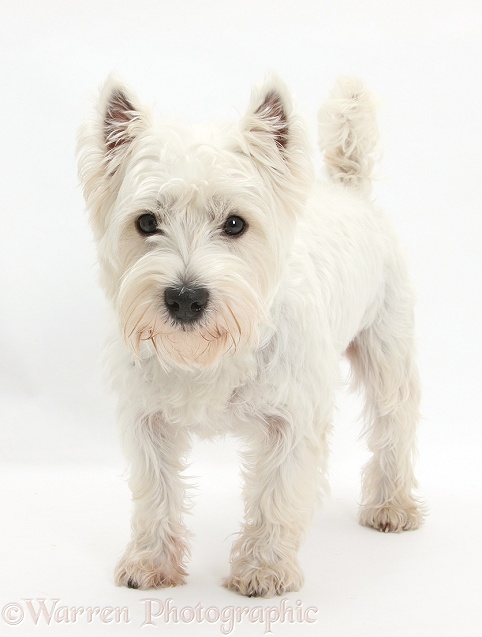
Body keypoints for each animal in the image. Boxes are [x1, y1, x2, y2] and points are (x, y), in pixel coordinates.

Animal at [78, 74, 422, 596]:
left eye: (235, 224)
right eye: (146, 222)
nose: (185, 298)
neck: (209, 353)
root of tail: (350, 191)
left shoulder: (292, 420)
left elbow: (275, 496)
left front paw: (263, 570)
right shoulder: (145, 419)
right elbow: (155, 492)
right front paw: (150, 562)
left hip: (386, 349)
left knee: (393, 426)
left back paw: (391, 506)